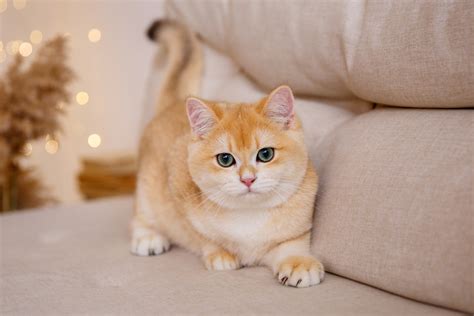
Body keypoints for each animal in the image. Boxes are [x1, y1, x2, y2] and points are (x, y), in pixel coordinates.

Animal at [131, 18, 324, 288]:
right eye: (225, 159)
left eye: (265, 154)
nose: (248, 179)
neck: (249, 216)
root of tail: (175, 103)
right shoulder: (180, 196)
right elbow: (201, 235)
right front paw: (220, 253)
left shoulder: (296, 230)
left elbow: (292, 245)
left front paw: (299, 263)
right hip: (147, 187)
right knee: (140, 213)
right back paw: (148, 237)